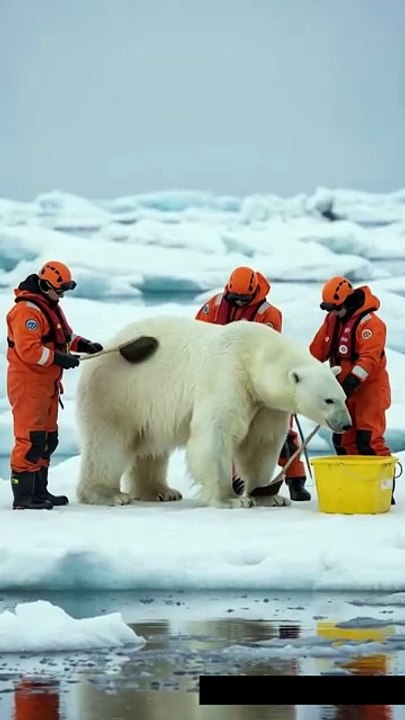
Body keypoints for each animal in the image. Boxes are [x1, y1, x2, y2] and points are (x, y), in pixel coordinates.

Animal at [75, 315, 351, 509]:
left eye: (343, 397)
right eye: (328, 400)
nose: (346, 424)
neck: (253, 352)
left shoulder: (265, 404)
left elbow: (261, 444)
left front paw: (270, 497)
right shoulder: (227, 376)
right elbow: (216, 434)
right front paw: (232, 499)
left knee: (151, 448)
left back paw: (160, 491)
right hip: (120, 393)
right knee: (108, 444)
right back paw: (108, 494)